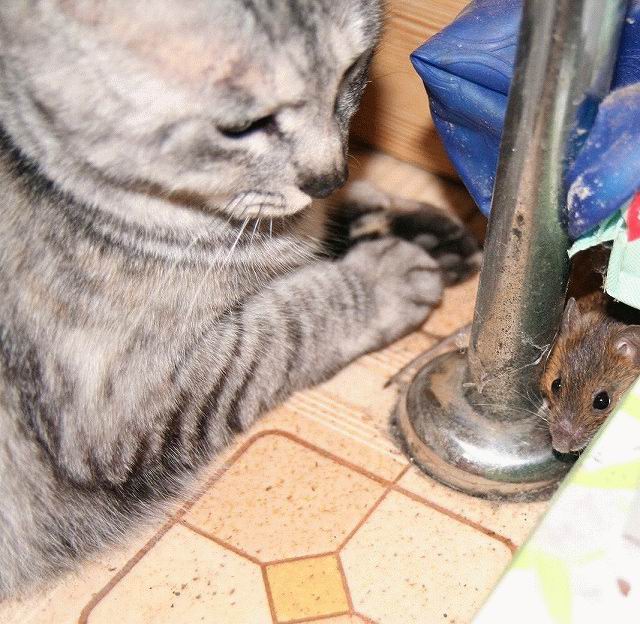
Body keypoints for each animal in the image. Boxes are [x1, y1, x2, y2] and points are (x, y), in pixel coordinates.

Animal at [0, 0, 478, 598]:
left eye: (352, 72)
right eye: (242, 128)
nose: (330, 176)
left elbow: (309, 231)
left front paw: (403, 225)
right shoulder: (124, 397)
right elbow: (291, 319)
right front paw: (379, 276)